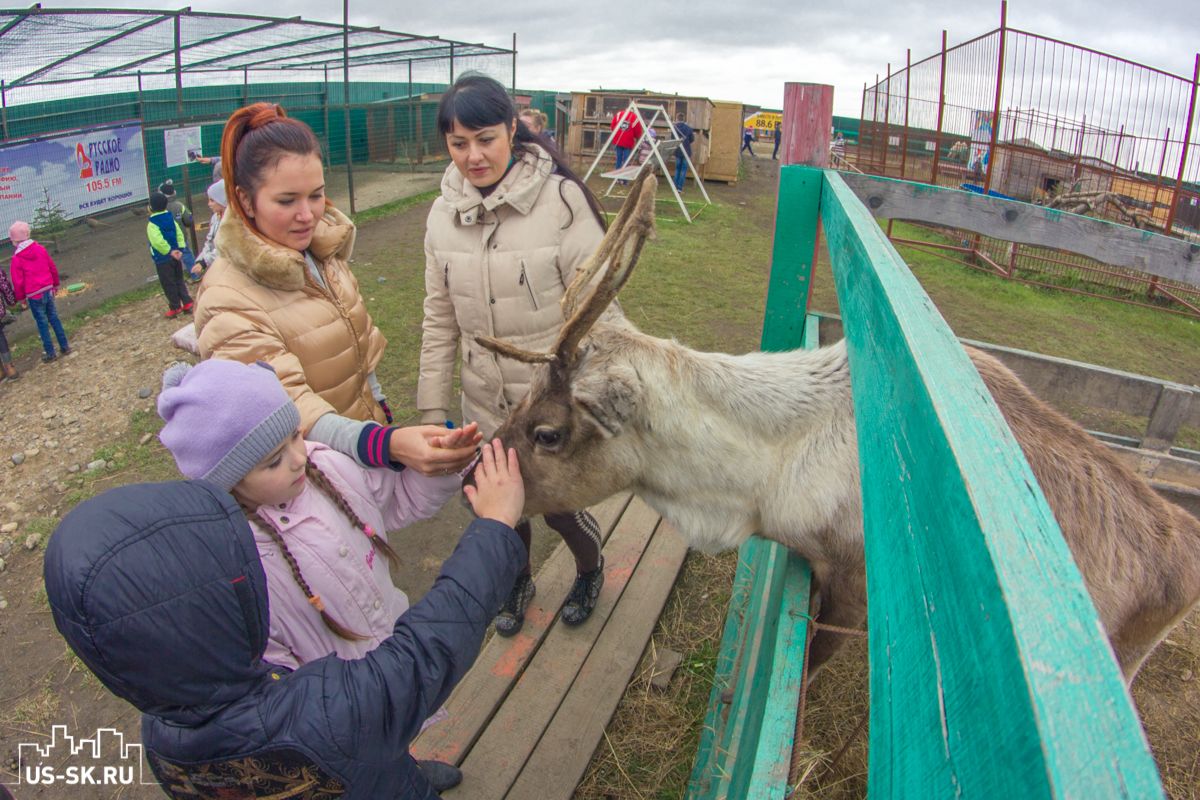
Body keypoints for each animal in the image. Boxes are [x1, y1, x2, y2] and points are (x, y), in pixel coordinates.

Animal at [475, 171, 1200, 683]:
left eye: (547, 432)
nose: (472, 478)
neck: (762, 485)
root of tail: (1185, 540)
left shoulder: (854, 591)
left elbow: (809, 677)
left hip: (1130, 654)